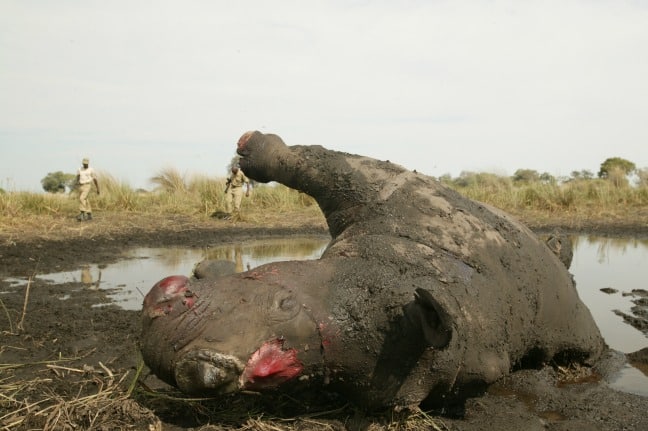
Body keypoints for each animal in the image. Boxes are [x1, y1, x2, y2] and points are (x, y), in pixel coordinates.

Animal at [139, 133, 604, 410]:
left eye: (285, 305)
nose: (194, 368)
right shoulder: (379, 195)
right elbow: (308, 164)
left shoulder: (375, 181)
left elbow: (311, 160)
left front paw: (248, 146)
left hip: (583, 332)